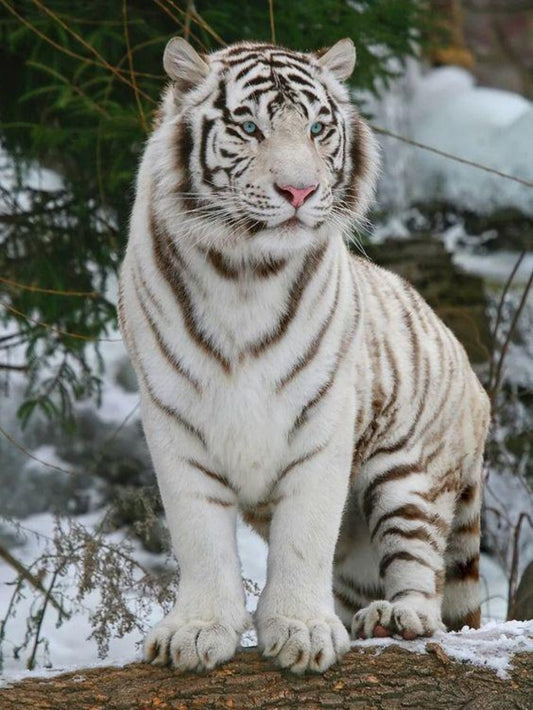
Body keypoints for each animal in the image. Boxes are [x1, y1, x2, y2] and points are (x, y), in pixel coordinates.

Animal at [117, 36, 490, 674]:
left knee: (423, 571)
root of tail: (478, 383)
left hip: (408, 474)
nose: (300, 191)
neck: (242, 272)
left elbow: (304, 536)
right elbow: (200, 538)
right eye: (249, 127)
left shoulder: (323, 417)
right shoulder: (173, 421)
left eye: (317, 129)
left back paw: (399, 619)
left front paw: (302, 631)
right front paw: (197, 631)